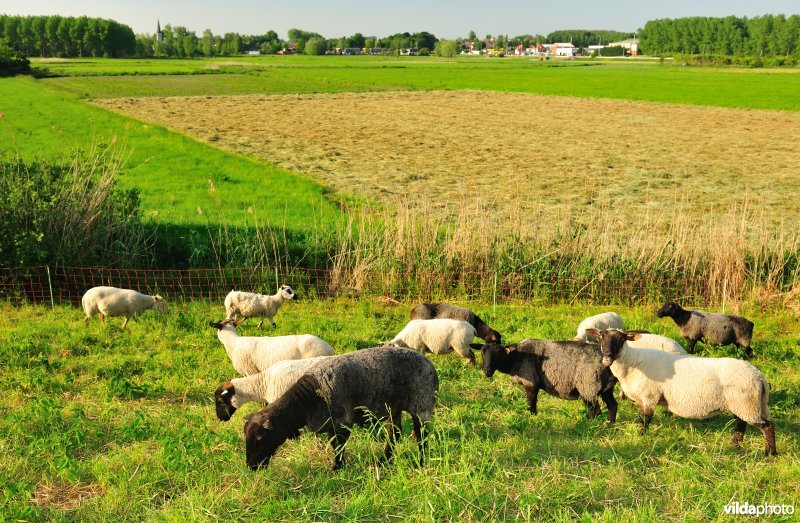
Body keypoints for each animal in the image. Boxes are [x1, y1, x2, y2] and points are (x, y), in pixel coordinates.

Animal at [244, 348, 438, 470]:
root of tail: (429, 363)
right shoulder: (330, 423)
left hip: (422, 403)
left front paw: (337, 467)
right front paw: (338, 466)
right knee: (395, 434)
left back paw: (420, 462)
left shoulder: (343, 422)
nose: (251, 466)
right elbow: (334, 445)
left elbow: (339, 446)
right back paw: (384, 460)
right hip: (394, 407)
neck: (308, 401)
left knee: (421, 435)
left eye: (260, 438)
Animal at [476, 340, 620, 422]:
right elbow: (533, 403)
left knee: (595, 410)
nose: (487, 370)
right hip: (606, 387)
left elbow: (530, 403)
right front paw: (534, 416)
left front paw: (530, 417)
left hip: (588, 385)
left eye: (499, 353)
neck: (516, 357)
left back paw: (586, 423)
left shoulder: (531, 382)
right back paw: (609, 424)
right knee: (613, 406)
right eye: (482, 353)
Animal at [592, 330, 780, 456]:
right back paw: (735, 444)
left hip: (746, 403)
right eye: (601, 337)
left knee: (767, 426)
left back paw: (769, 453)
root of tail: (759, 376)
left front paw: (641, 437)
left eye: (621, 338)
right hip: (742, 404)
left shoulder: (649, 396)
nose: (607, 355)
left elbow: (644, 420)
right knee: (741, 424)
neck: (632, 363)